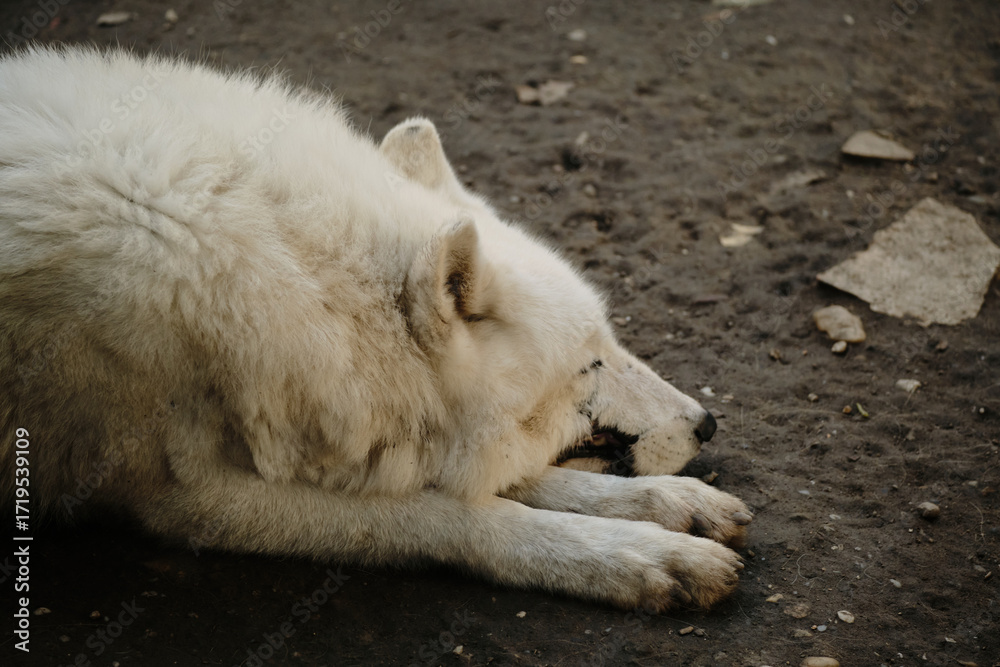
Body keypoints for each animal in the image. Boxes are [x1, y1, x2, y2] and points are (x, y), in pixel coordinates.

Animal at [0, 47, 750, 611]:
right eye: (589, 365)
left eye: (611, 343)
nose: (708, 422)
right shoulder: (182, 497)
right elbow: (452, 512)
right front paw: (638, 555)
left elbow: (513, 479)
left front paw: (669, 504)